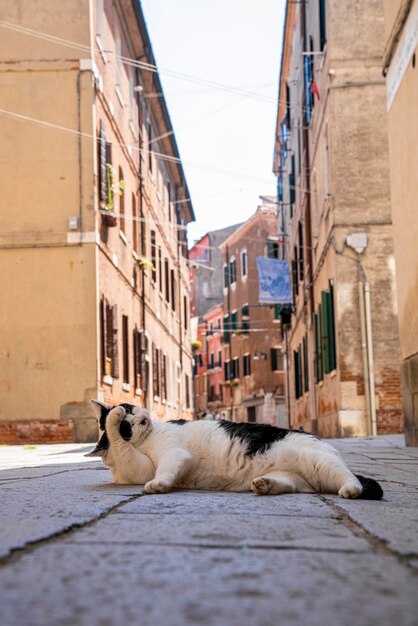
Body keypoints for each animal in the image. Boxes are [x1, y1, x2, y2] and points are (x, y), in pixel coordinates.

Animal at [86, 402, 384, 500]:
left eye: (132, 408)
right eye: (127, 427)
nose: (141, 419)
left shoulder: (173, 456)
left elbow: (162, 471)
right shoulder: (138, 466)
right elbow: (124, 451)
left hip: (320, 462)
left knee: (351, 478)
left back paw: (351, 489)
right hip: (295, 475)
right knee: (290, 485)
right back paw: (264, 484)